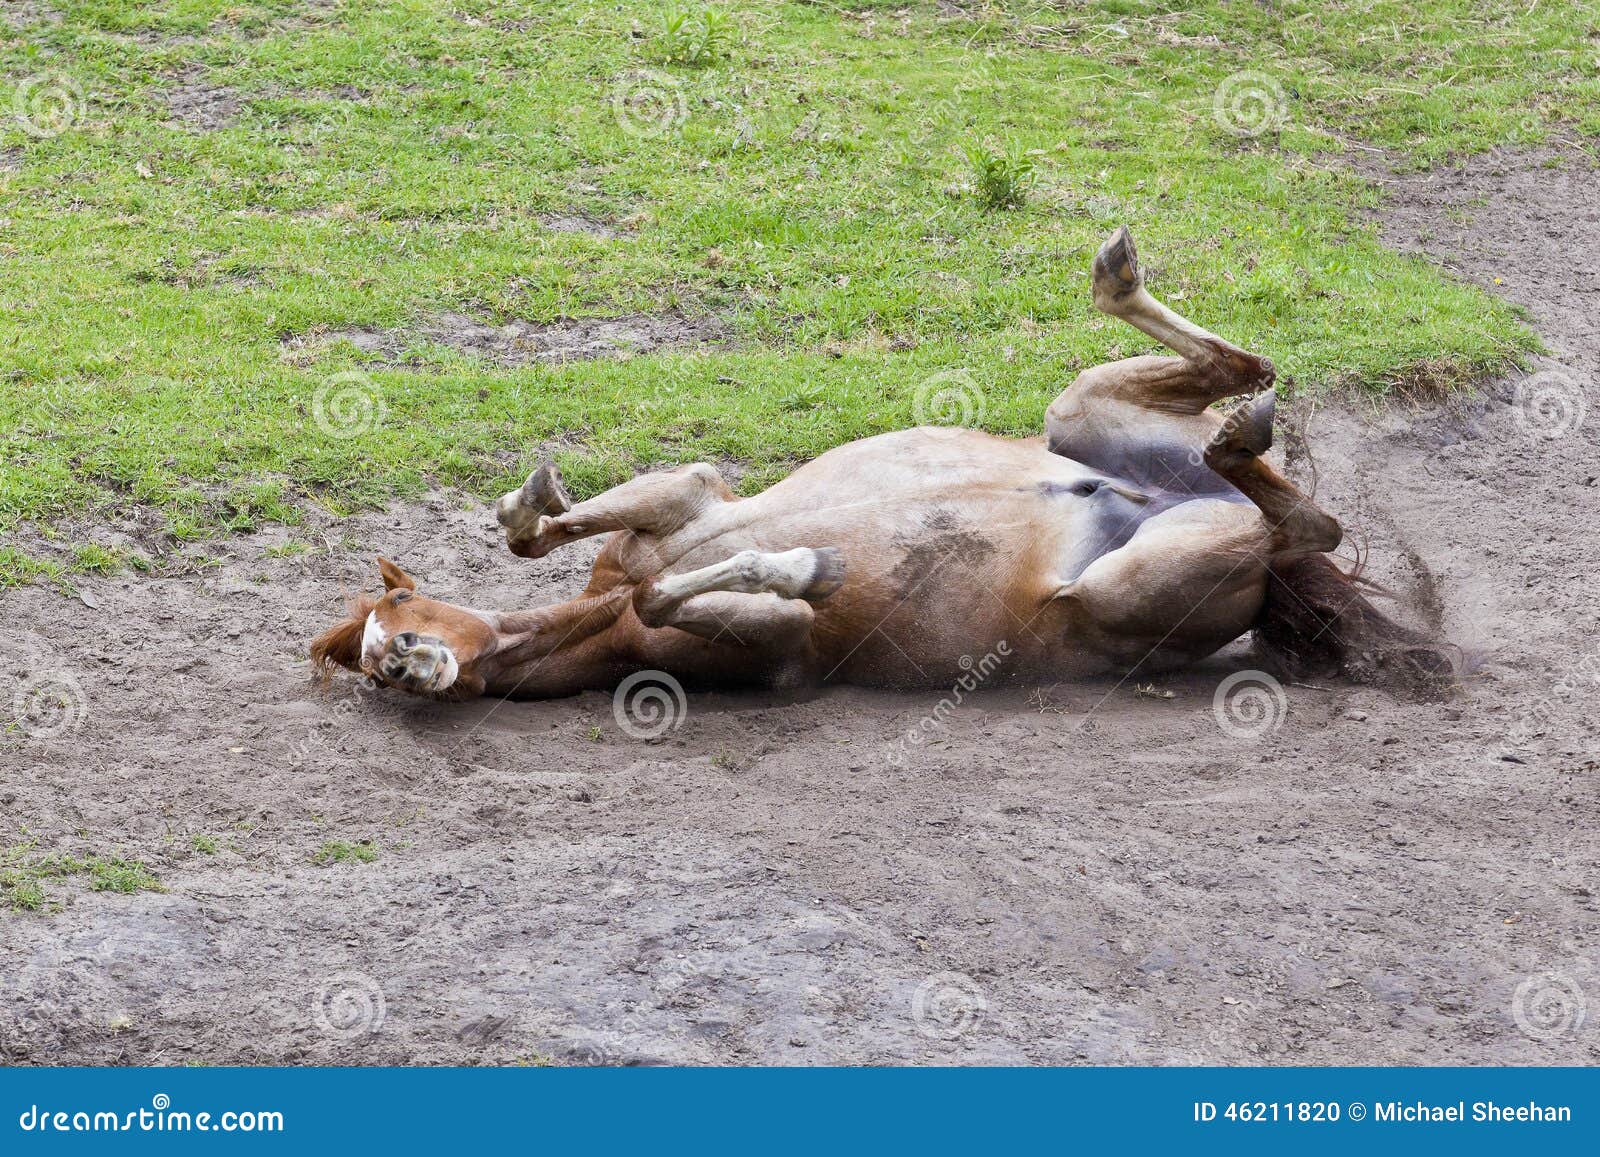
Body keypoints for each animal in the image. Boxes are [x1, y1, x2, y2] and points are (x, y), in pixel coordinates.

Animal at [311, 228, 1435, 700]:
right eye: (369, 664)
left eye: (402, 612)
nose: (404, 663)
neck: (602, 615)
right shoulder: (762, 642)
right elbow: (670, 588)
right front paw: (799, 566)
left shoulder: (685, 503)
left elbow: (544, 533)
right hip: (1129, 551)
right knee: (1288, 492)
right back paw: (1231, 434)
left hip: (1100, 475)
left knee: (1291, 475)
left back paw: (1141, 307)